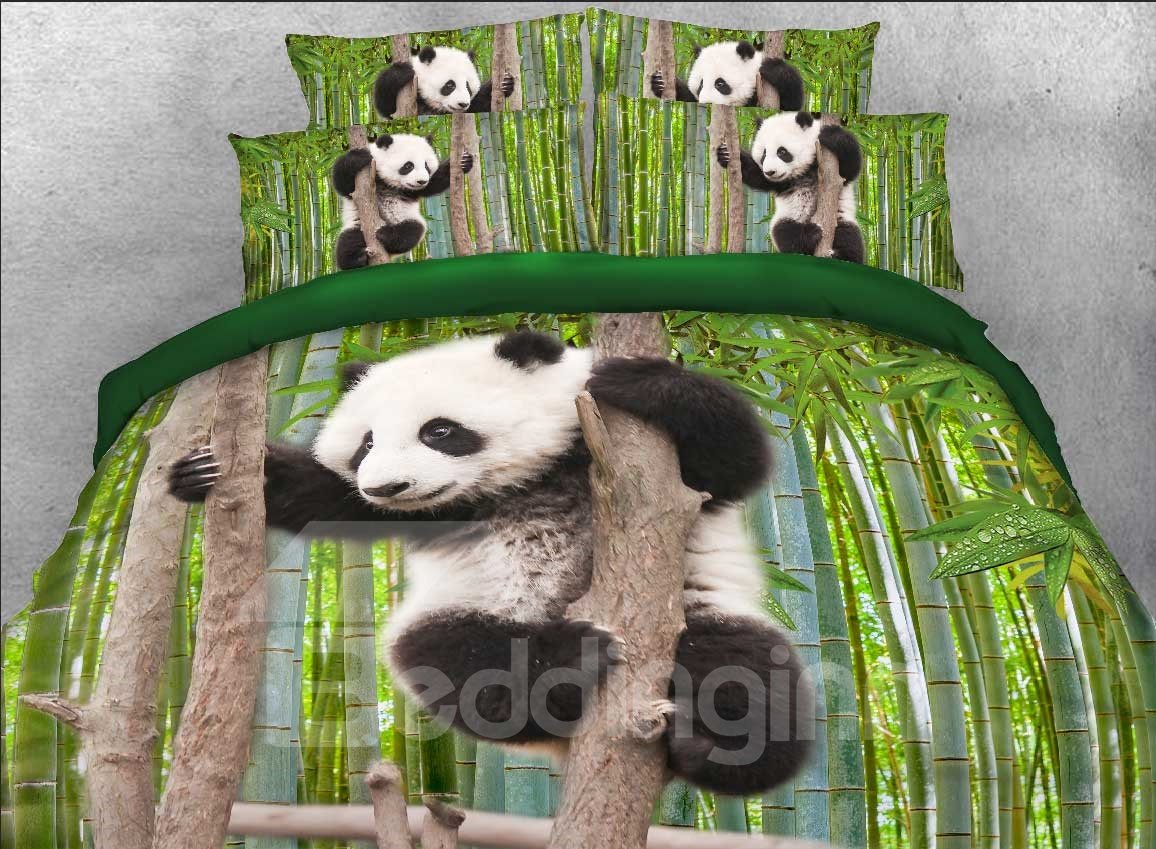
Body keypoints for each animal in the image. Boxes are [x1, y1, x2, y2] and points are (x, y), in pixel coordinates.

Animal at [169, 330, 814, 795]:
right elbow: (326, 499)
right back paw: (569, 661)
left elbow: (734, 460)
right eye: (366, 444)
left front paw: (639, 381)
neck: (517, 484)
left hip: (700, 613)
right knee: (455, 660)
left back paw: (710, 749)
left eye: (440, 431)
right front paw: (200, 473)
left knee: (750, 680)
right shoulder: (426, 514)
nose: (388, 487)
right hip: (463, 618)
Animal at [331, 133, 473, 268]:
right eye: (408, 165)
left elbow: (435, 182)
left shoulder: (414, 190)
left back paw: (385, 235)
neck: (390, 184)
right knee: (348, 241)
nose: (421, 181)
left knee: (412, 231)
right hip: (357, 224)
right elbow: (343, 185)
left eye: (426, 166)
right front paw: (358, 158)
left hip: (407, 220)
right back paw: (357, 259)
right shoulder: (368, 178)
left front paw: (465, 161)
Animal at [374, 45, 516, 118]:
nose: (463, 104)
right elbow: (385, 107)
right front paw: (401, 72)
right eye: (450, 85)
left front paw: (507, 83)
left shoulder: (473, 106)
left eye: (468, 86)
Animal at [650, 40, 804, 110]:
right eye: (700, 85)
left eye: (720, 83)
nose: (708, 103)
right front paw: (658, 82)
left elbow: (792, 105)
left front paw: (774, 69)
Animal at [719, 111, 866, 263]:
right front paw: (724, 154)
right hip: (788, 218)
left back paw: (841, 256)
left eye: (782, 152)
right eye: (764, 154)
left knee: (849, 238)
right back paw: (810, 234)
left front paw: (832, 135)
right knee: (785, 234)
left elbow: (850, 168)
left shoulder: (830, 167)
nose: (770, 172)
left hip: (841, 218)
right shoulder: (781, 182)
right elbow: (757, 176)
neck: (804, 171)